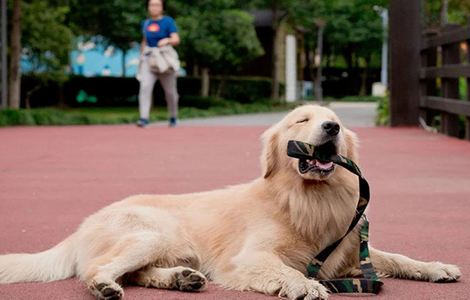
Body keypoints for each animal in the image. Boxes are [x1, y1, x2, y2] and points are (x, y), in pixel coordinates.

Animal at [0, 104, 462, 298]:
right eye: (302, 119)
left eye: (337, 122)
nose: (331, 128)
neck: (304, 198)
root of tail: (81, 226)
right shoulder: (251, 256)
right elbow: (283, 269)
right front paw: (304, 285)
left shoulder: (349, 252)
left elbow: (399, 257)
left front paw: (436, 267)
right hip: (150, 234)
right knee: (98, 270)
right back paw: (104, 286)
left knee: (139, 274)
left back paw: (180, 279)